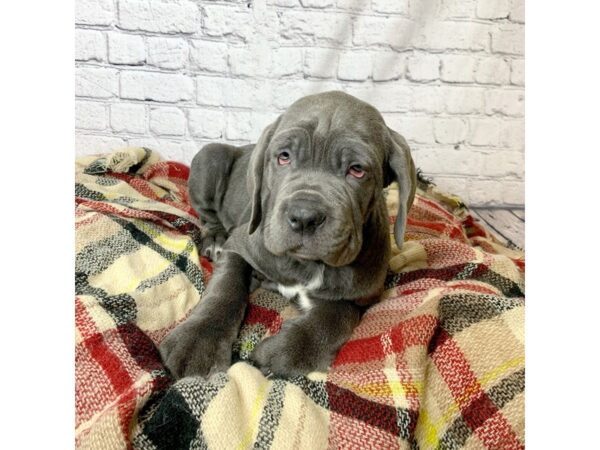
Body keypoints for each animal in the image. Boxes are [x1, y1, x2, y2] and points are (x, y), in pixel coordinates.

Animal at [162, 89, 420, 378]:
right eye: (283, 157)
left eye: (357, 170)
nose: (305, 217)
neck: (306, 264)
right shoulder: (239, 246)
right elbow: (225, 288)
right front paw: (199, 339)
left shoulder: (362, 294)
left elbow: (335, 317)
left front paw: (285, 352)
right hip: (211, 156)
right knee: (208, 215)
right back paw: (215, 238)